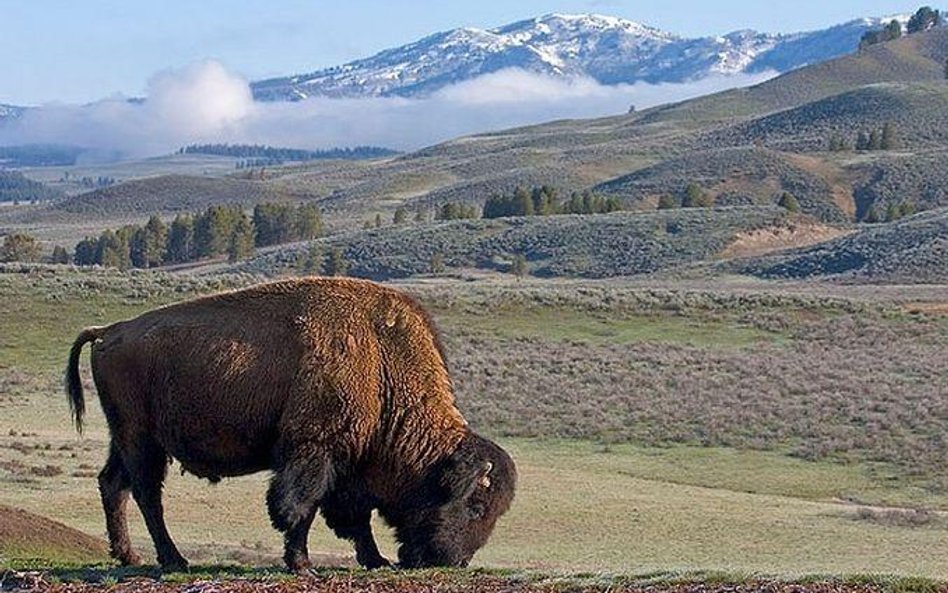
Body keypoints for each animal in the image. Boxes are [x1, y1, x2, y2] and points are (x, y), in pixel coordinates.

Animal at [65, 278, 520, 568]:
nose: (454, 561)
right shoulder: (315, 450)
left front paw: (376, 560)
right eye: (476, 505)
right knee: (146, 494)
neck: (381, 361)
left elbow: (352, 517)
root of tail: (111, 330)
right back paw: (174, 561)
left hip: (125, 438)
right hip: (141, 439)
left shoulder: (350, 461)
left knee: (113, 484)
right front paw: (301, 564)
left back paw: (128, 555)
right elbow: (301, 507)